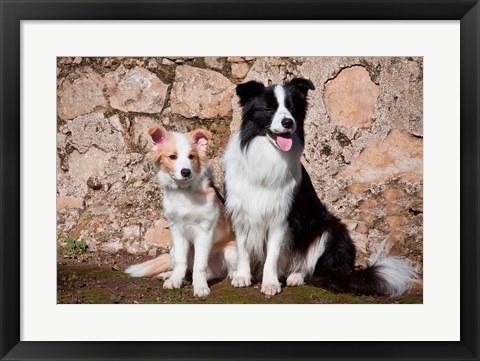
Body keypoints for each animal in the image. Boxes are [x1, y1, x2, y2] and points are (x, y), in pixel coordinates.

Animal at [124, 126, 235, 296]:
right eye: (172, 157)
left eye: (191, 156)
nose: (186, 172)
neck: (184, 193)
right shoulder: (177, 230)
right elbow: (181, 263)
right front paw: (175, 281)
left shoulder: (204, 232)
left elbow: (199, 266)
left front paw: (200, 287)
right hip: (173, 250)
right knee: (187, 268)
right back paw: (168, 275)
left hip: (230, 250)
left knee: (219, 271)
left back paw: (238, 277)